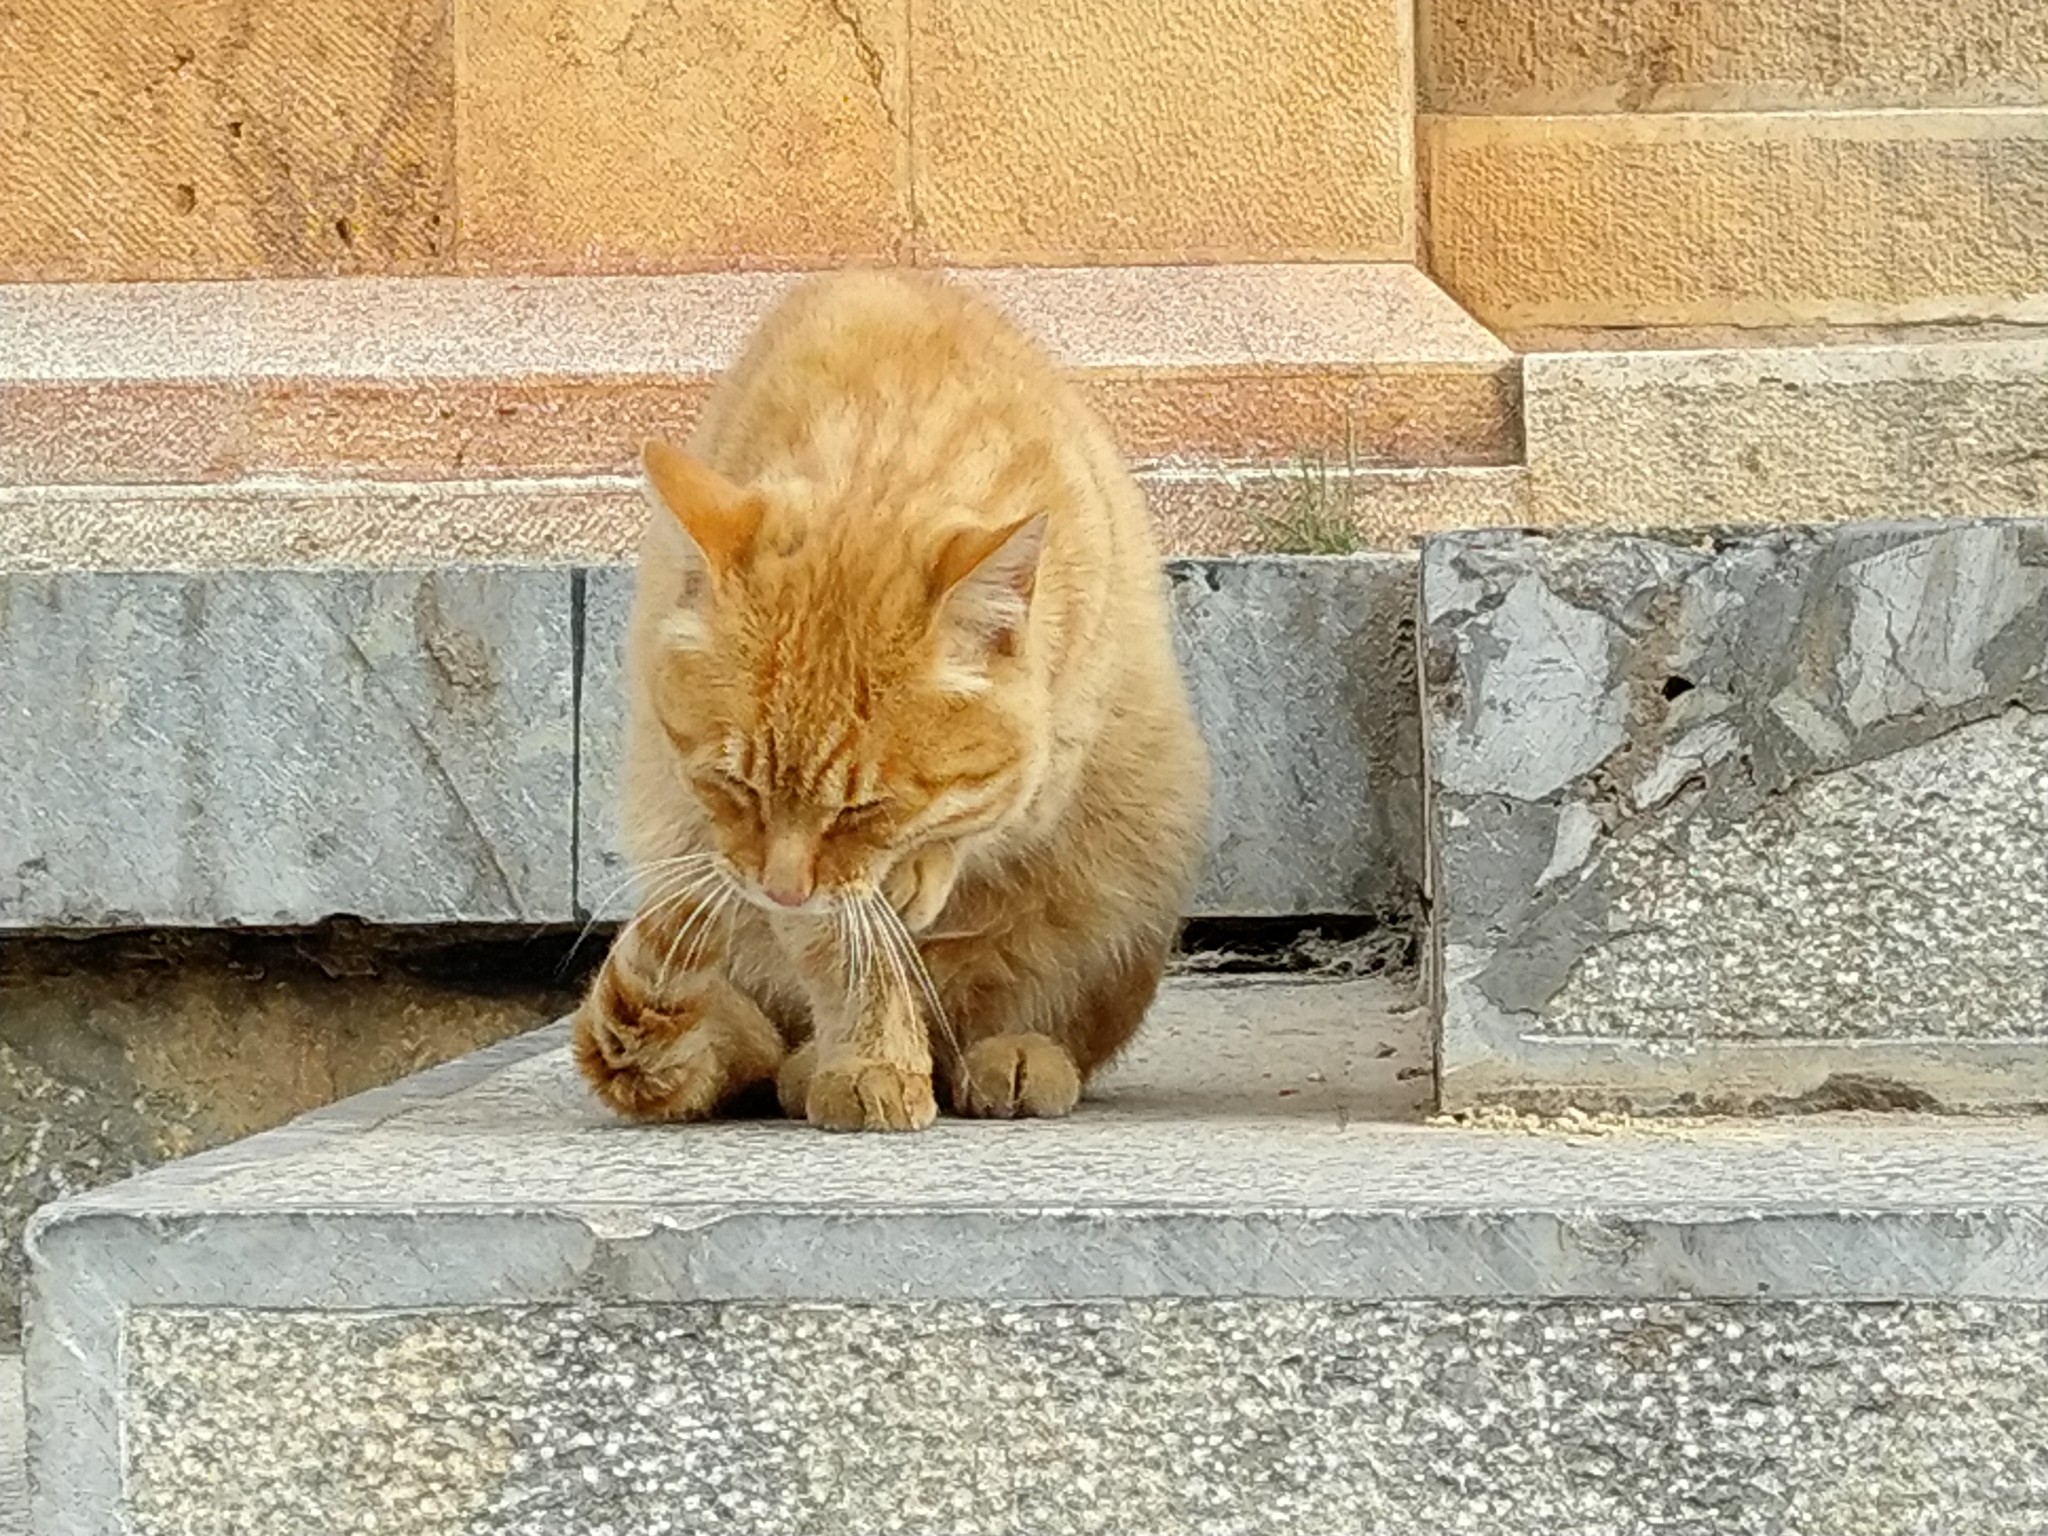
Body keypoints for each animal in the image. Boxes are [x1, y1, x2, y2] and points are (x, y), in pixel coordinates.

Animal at [577, 268, 1204, 1130]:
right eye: (734, 786)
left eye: (864, 809)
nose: (781, 886)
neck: (887, 434)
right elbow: (851, 957)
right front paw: (871, 1061)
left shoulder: (1060, 742)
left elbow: (994, 811)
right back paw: (812, 1061)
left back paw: (1015, 1053)